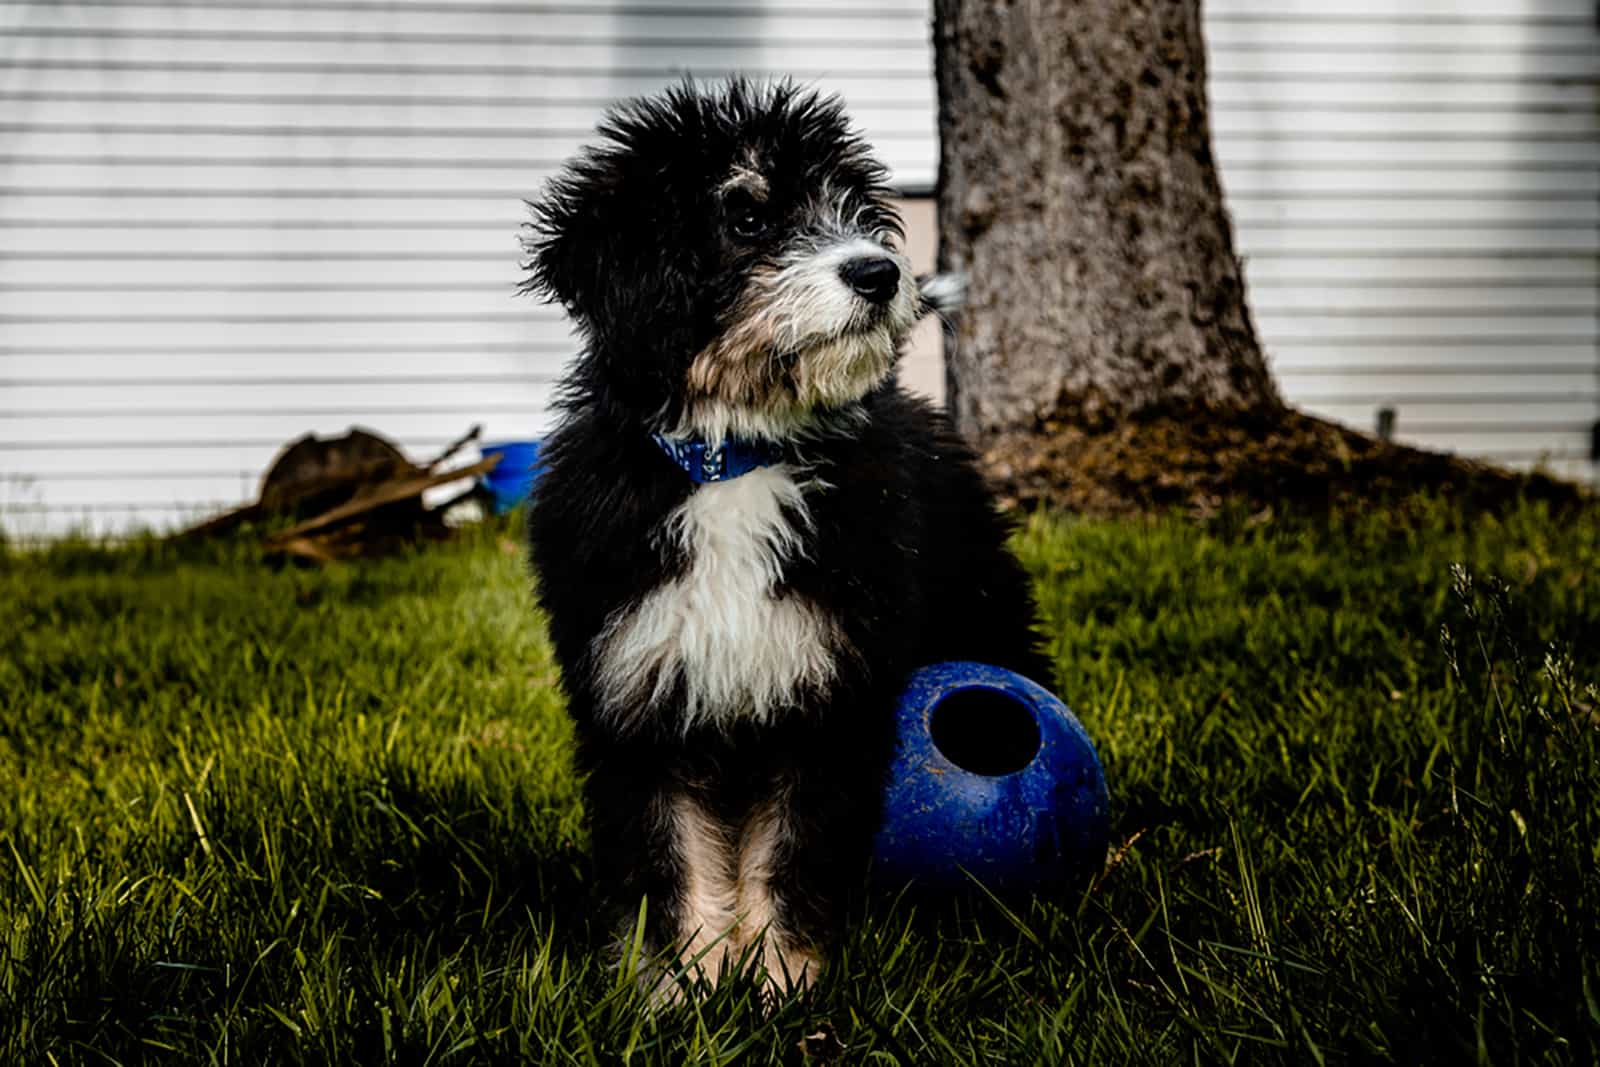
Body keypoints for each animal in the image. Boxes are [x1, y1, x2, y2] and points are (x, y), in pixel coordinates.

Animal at [521, 81, 1049, 1004]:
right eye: (746, 214)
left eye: (851, 206)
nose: (880, 272)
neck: (735, 457)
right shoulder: (639, 693)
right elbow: (674, 853)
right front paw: (682, 990)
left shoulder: (827, 689)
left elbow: (791, 848)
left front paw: (781, 985)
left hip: (985, 611)